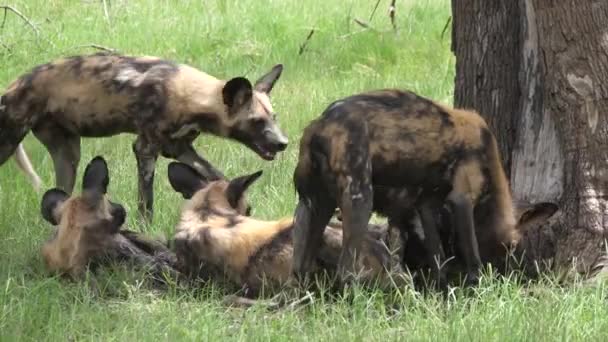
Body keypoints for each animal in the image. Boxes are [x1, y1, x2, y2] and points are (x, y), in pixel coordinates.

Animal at [0, 52, 288, 220]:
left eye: (274, 118)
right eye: (256, 122)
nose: (283, 143)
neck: (193, 97)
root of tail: (15, 84)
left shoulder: (180, 149)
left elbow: (217, 177)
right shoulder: (146, 149)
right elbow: (146, 201)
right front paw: (145, 226)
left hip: (68, 155)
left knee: (59, 194)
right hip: (8, 142)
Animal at [294, 87, 524, 288]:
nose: (510, 278)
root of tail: (319, 124)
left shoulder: (426, 206)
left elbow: (438, 258)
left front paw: (441, 291)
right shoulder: (462, 199)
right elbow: (473, 257)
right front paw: (475, 288)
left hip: (314, 207)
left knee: (301, 267)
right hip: (359, 202)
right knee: (346, 270)